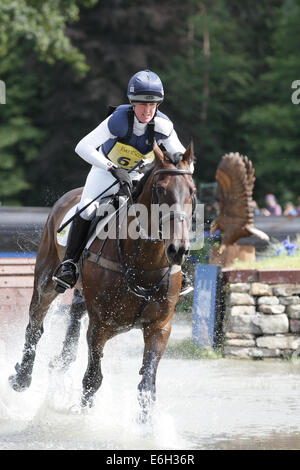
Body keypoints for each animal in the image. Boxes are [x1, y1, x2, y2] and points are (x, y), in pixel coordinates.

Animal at [8, 144, 196, 418]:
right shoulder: (100, 327)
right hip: (46, 281)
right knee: (35, 325)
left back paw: (61, 360)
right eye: (161, 189)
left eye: (192, 191)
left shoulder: (160, 327)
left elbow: (147, 386)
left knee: (74, 316)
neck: (143, 264)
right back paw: (22, 378)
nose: (178, 250)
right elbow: (92, 379)